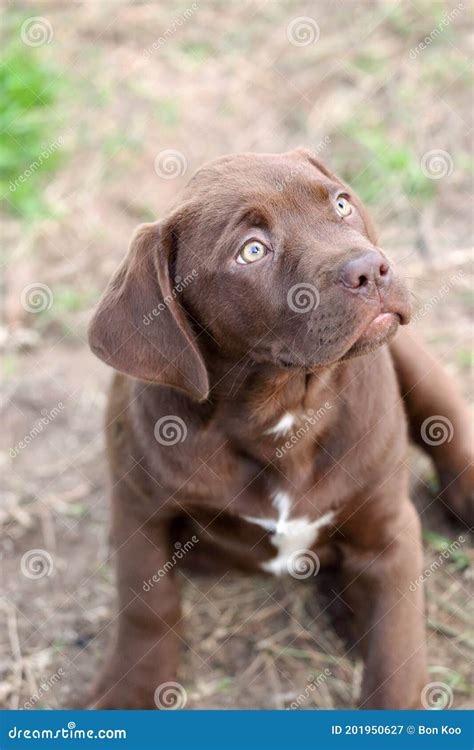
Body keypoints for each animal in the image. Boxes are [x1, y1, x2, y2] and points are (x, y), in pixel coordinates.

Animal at [87, 148, 472, 712]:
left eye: (341, 204)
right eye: (252, 251)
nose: (369, 269)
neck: (283, 409)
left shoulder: (391, 531)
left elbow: (397, 654)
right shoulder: (138, 510)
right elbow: (147, 603)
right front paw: (130, 692)